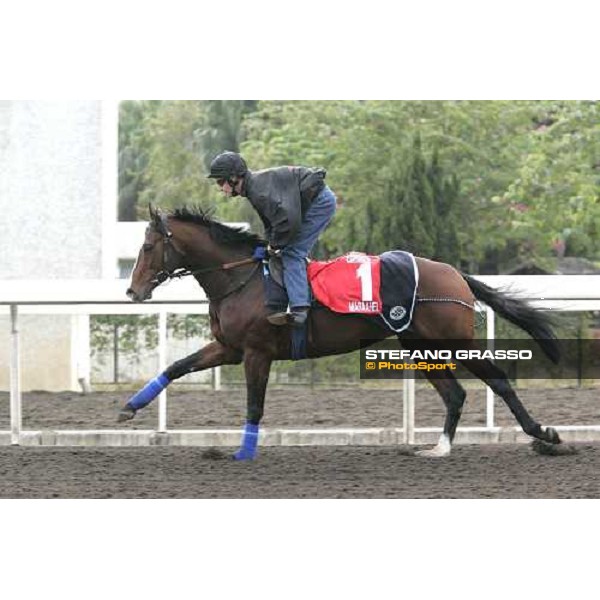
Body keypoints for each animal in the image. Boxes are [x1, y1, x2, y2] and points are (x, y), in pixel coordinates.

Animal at [120, 206, 564, 460]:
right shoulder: (229, 347)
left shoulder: (257, 351)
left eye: (147, 246)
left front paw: (243, 453)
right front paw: (129, 407)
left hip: (452, 341)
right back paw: (439, 448)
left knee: (498, 379)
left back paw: (543, 434)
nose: (133, 291)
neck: (242, 280)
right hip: (419, 345)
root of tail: (456, 274)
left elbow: (254, 405)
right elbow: (176, 367)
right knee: (455, 393)